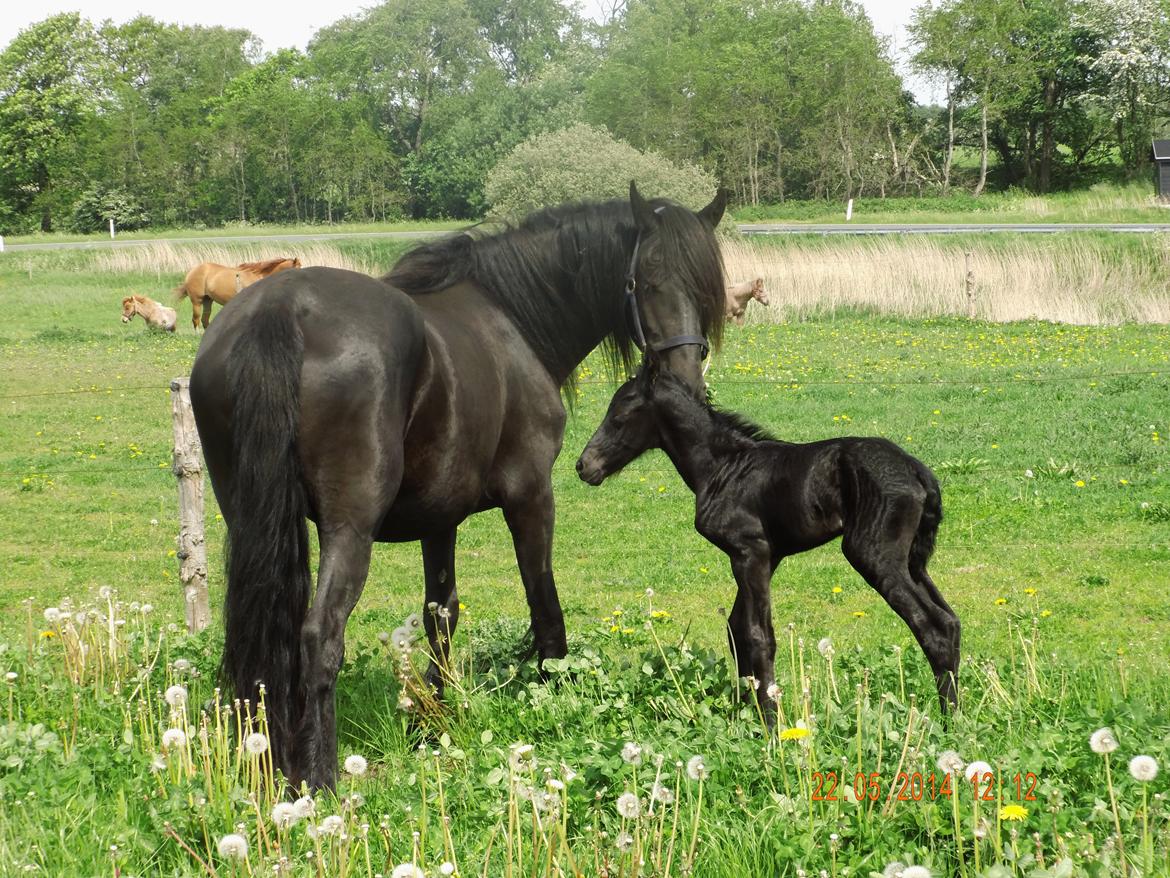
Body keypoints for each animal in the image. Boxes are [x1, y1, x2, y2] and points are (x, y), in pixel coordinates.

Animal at [187, 183, 725, 791]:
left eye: (704, 286)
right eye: (646, 281)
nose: (685, 383)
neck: (512, 320)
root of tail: (279, 309)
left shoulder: (438, 518)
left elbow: (440, 615)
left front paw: (434, 721)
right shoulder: (531, 495)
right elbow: (545, 606)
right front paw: (554, 696)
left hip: (251, 522)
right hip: (349, 528)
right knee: (320, 635)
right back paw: (319, 775)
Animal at [575, 365, 959, 721]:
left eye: (619, 417)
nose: (583, 466)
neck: (723, 466)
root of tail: (918, 471)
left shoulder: (749, 552)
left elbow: (759, 636)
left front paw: (771, 726)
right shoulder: (766, 556)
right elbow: (737, 630)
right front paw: (747, 713)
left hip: (872, 554)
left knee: (932, 626)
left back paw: (948, 722)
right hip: (912, 561)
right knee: (950, 621)